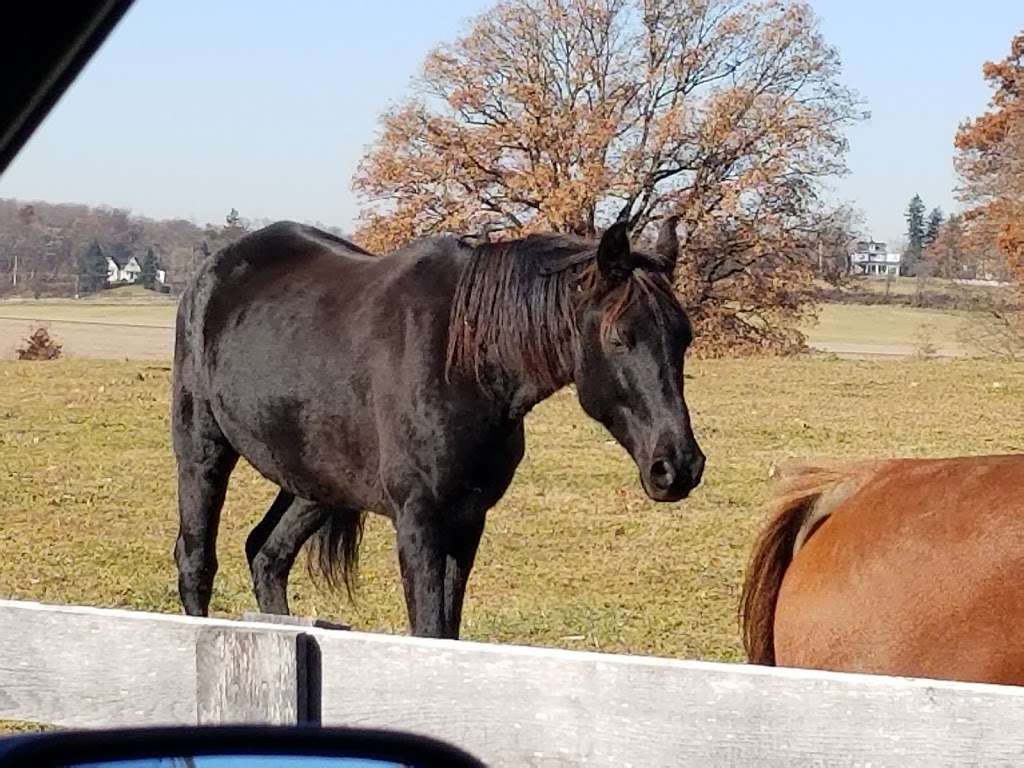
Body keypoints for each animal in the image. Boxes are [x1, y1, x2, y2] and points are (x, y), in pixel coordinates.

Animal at [174, 219, 704, 638]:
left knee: (267, 555)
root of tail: (214, 269)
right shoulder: (419, 521)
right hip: (203, 451)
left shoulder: (467, 521)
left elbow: (447, 632)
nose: (678, 467)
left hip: (314, 482)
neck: (462, 365)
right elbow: (427, 628)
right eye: (619, 338)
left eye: (685, 337)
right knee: (197, 562)